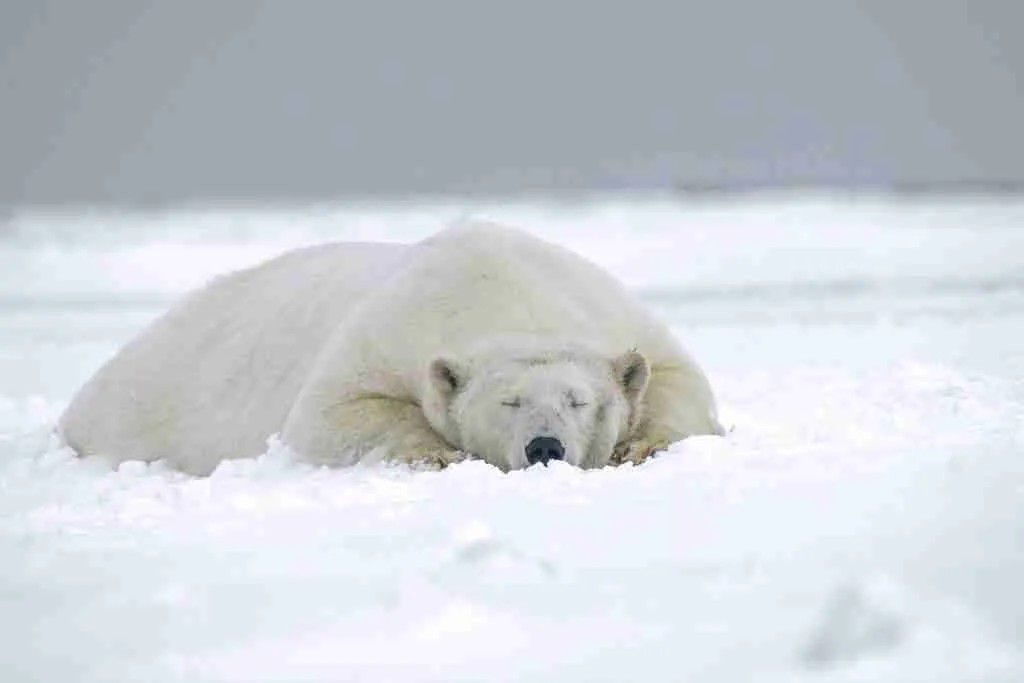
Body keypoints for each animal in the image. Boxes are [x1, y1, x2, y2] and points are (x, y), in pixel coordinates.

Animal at [59, 222, 724, 473]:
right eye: (507, 402)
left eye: (578, 400)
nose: (544, 447)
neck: (500, 285)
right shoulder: (389, 331)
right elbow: (333, 415)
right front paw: (439, 455)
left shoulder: (610, 309)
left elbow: (679, 381)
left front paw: (639, 445)